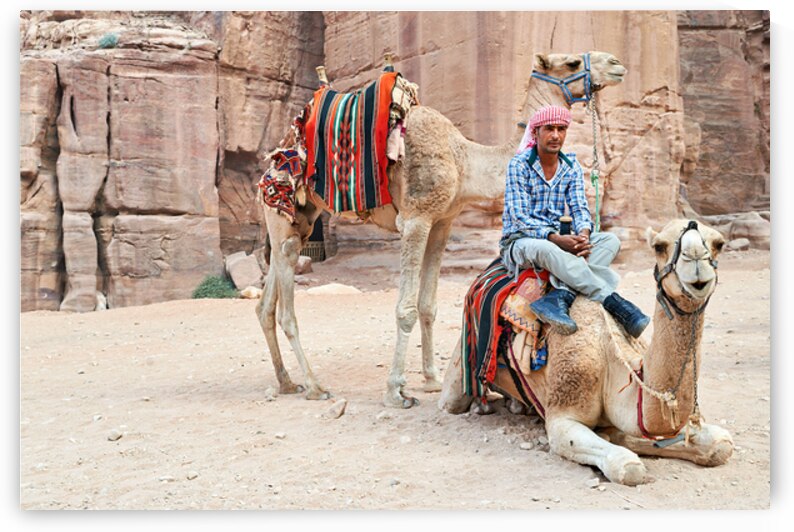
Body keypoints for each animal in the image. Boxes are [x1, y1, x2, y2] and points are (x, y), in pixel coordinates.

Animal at [255, 51, 628, 407]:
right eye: (572, 62)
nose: (617, 64)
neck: (463, 159)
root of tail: (274, 158)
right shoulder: (416, 218)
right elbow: (405, 309)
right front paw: (396, 391)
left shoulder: (442, 222)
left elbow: (428, 305)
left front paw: (432, 378)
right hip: (281, 210)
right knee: (286, 298)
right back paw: (315, 386)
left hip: (302, 217)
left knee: (267, 299)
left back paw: (286, 382)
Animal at [438, 219, 734, 485]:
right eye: (659, 246)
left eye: (719, 244)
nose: (695, 260)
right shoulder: (565, 408)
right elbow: (627, 466)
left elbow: (721, 443)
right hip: (462, 356)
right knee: (452, 400)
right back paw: (481, 405)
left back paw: (516, 405)